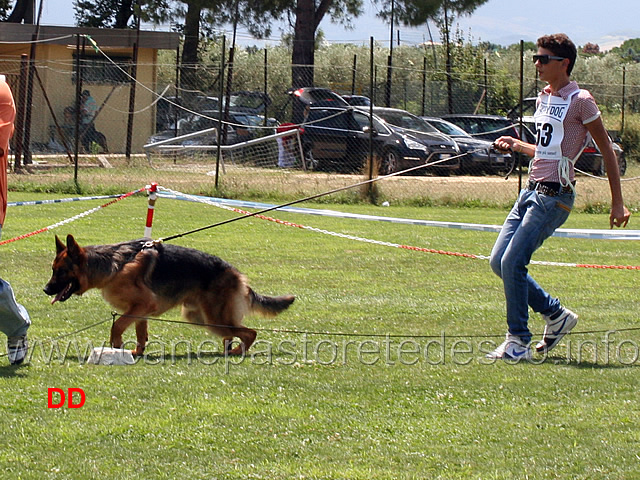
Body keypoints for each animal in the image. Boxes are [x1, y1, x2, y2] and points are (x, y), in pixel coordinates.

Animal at [43, 234, 296, 354]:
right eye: (52, 270)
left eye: (61, 271)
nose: (45, 290)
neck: (114, 265)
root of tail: (235, 273)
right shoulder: (140, 311)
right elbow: (140, 333)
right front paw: (136, 352)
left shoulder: (142, 305)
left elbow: (117, 326)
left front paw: (117, 346)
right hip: (201, 317)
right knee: (233, 333)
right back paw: (228, 350)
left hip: (213, 318)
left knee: (249, 333)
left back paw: (236, 352)